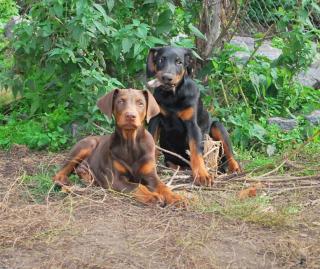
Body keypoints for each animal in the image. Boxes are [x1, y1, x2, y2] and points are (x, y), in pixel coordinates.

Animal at [53, 88, 184, 205]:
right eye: (120, 101)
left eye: (140, 103)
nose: (130, 116)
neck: (131, 143)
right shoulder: (115, 179)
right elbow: (137, 186)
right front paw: (152, 196)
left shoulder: (150, 175)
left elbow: (162, 186)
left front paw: (176, 197)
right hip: (86, 145)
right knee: (59, 173)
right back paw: (65, 181)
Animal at [145, 46, 240, 184]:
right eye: (161, 60)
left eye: (179, 62)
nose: (167, 77)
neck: (172, 96)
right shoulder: (154, 121)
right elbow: (151, 142)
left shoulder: (192, 125)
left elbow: (196, 151)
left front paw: (202, 175)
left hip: (218, 127)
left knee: (229, 153)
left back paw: (235, 168)